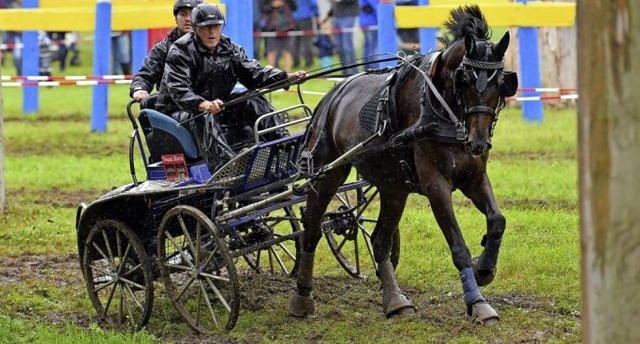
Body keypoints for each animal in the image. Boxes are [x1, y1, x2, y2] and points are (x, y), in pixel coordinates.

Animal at [290, 4, 520, 324]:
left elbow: (498, 220)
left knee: (380, 241)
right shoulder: (436, 185)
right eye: (464, 80)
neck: (439, 110)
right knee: (311, 228)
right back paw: (302, 297)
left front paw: (484, 269)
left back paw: (396, 301)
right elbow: (458, 245)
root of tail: (333, 95)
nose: (478, 142)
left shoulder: (474, 177)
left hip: (393, 187)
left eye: (501, 83)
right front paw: (477, 302)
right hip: (327, 172)